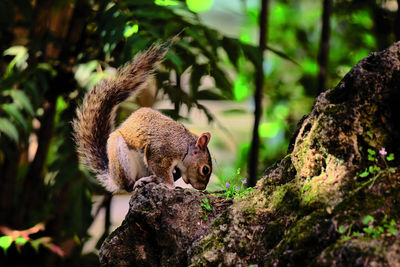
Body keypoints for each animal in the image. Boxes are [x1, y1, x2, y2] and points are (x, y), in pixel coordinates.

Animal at [74, 42, 214, 193]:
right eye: (205, 169)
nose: (202, 188)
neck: (184, 146)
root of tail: (114, 178)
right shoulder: (160, 152)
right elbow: (162, 172)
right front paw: (171, 187)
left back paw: (149, 179)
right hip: (121, 158)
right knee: (128, 186)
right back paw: (137, 182)